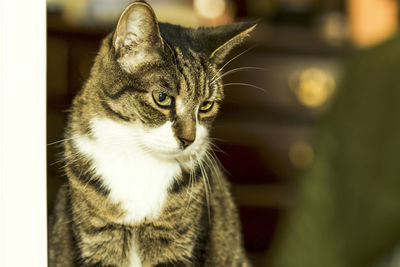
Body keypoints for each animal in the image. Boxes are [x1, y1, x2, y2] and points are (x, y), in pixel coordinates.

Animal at [49, 1, 256, 266]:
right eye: (162, 98)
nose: (189, 139)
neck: (139, 158)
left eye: (206, 106)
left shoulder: (176, 243)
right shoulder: (97, 238)